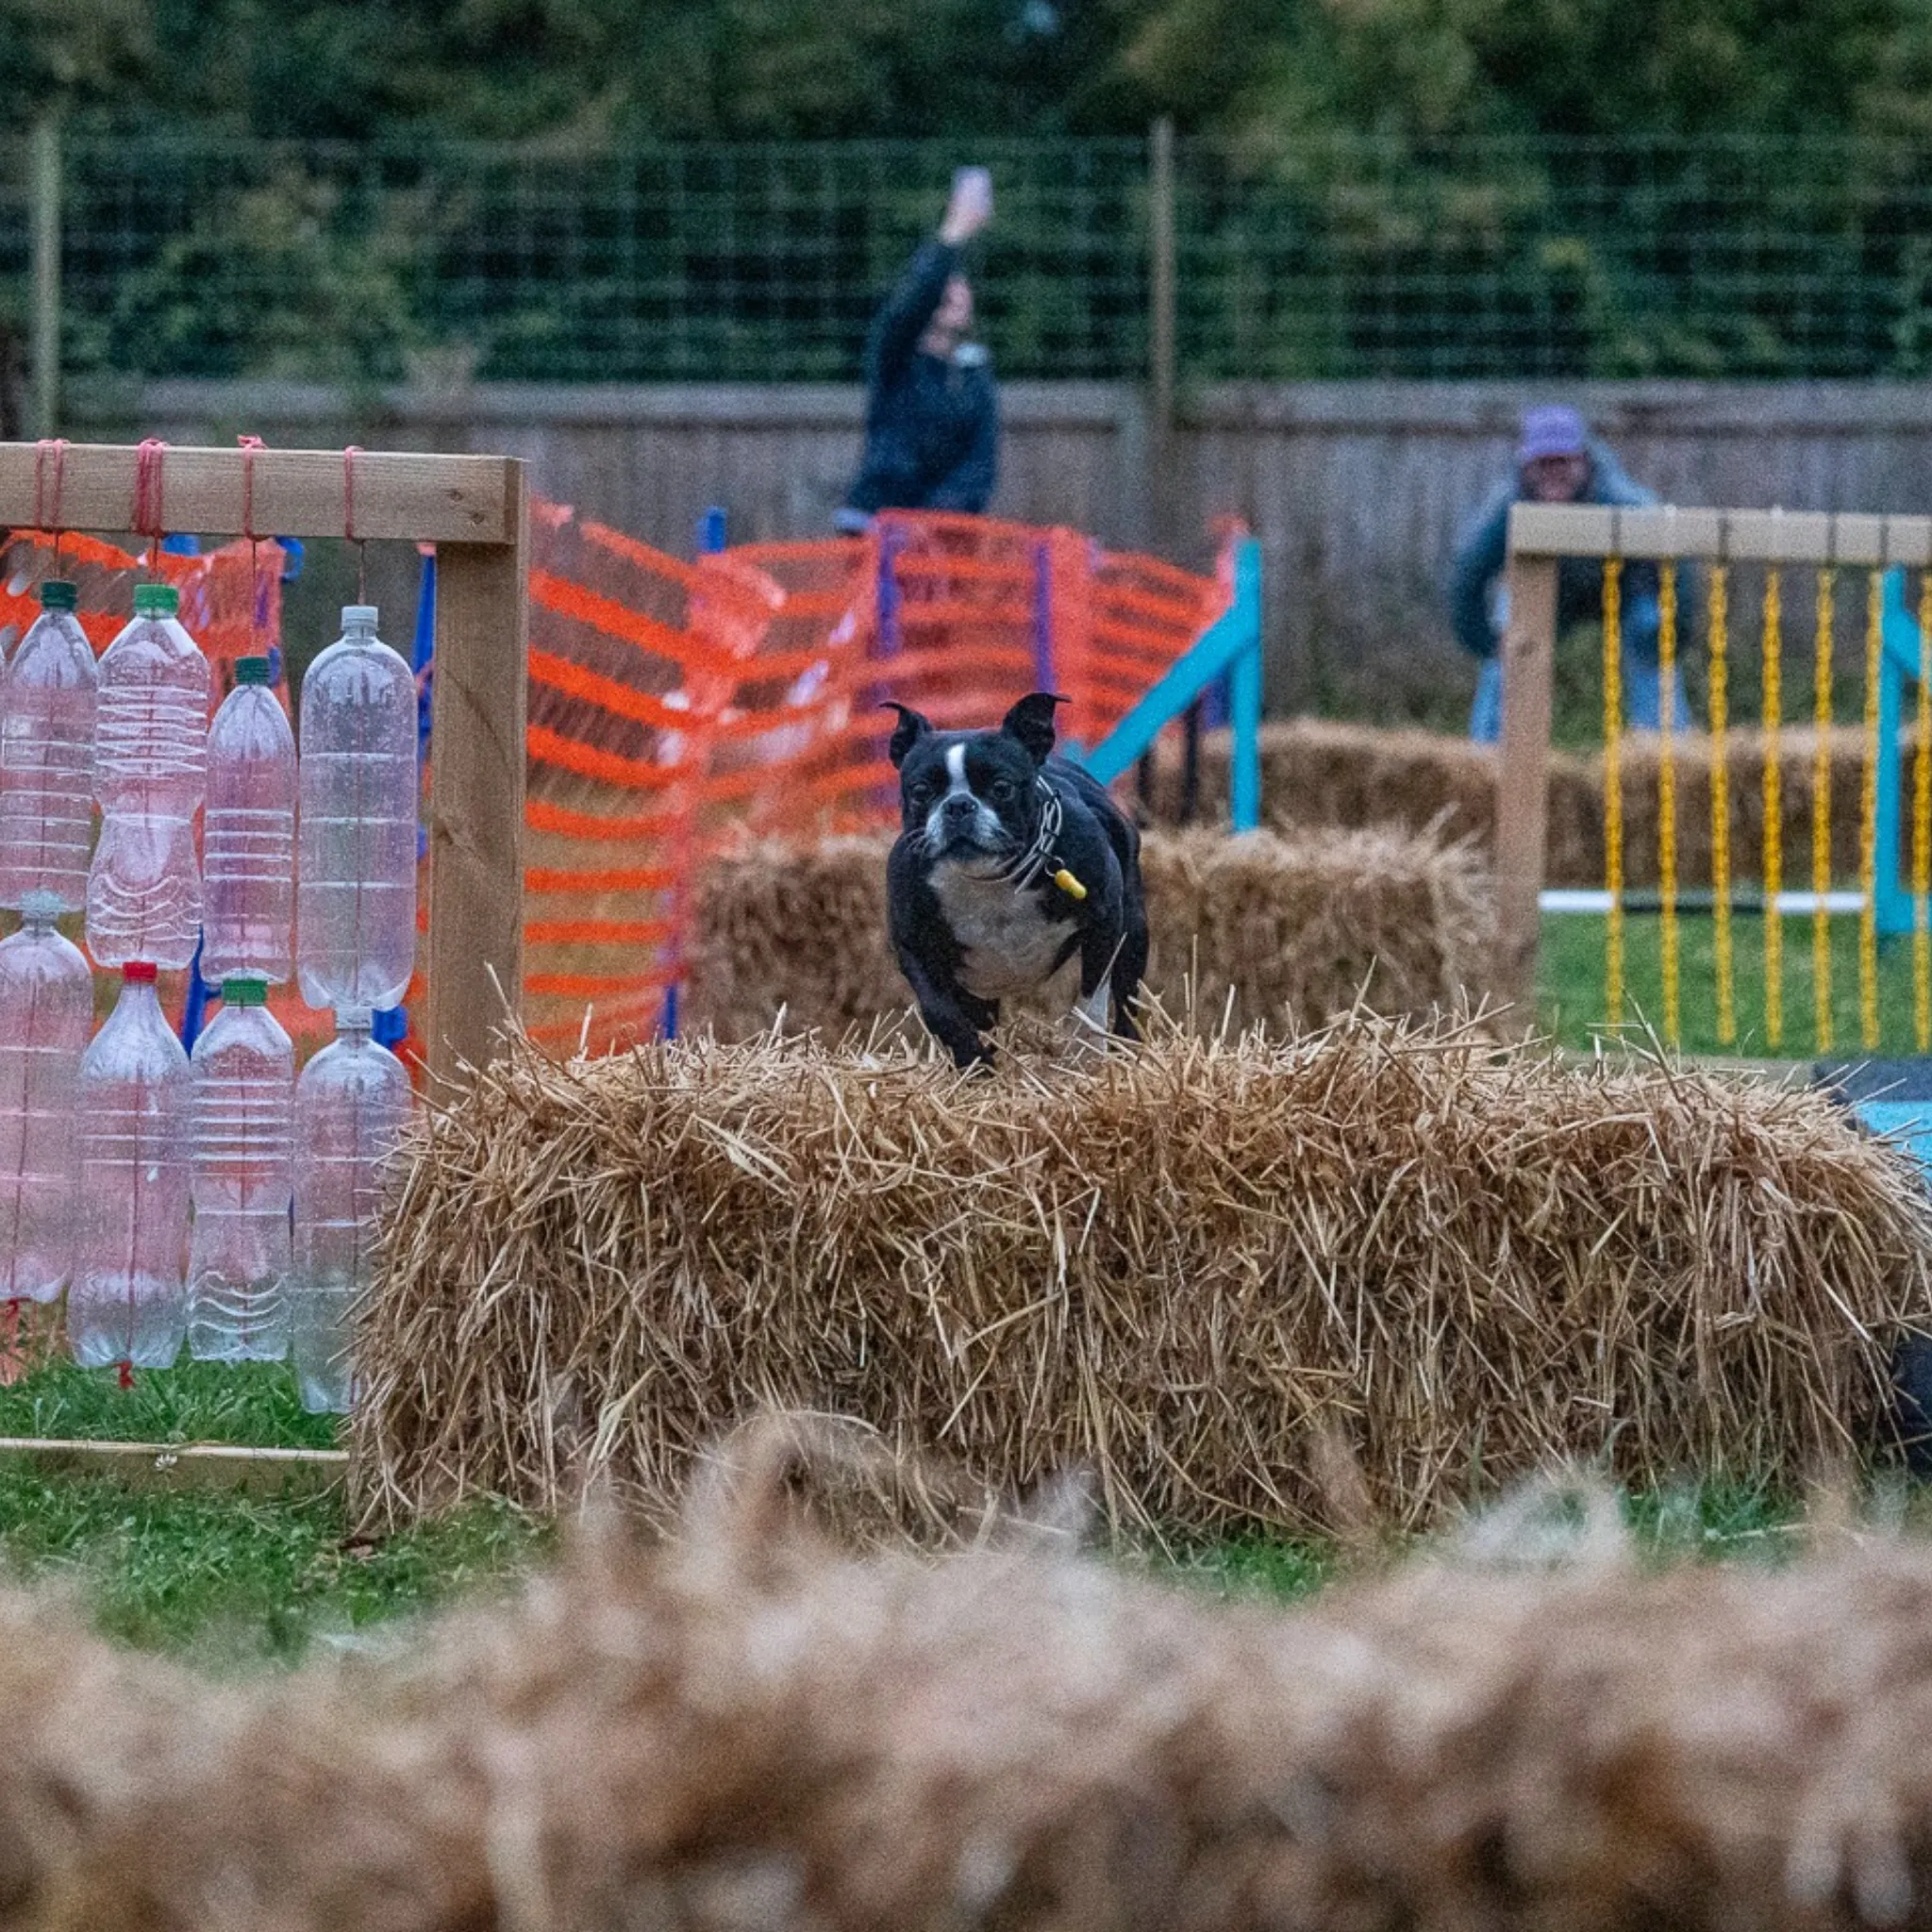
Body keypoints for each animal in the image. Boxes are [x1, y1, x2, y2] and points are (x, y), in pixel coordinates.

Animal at [884, 691, 1143, 1074]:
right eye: (920, 791)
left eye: (1001, 788)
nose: (958, 805)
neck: (989, 878)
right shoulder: (915, 949)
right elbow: (940, 1013)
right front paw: (974, 1064)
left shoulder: (1106, 922)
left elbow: (1091, 1000)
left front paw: (1084, 1054)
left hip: (1135, 929)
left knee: (1128, 1002)